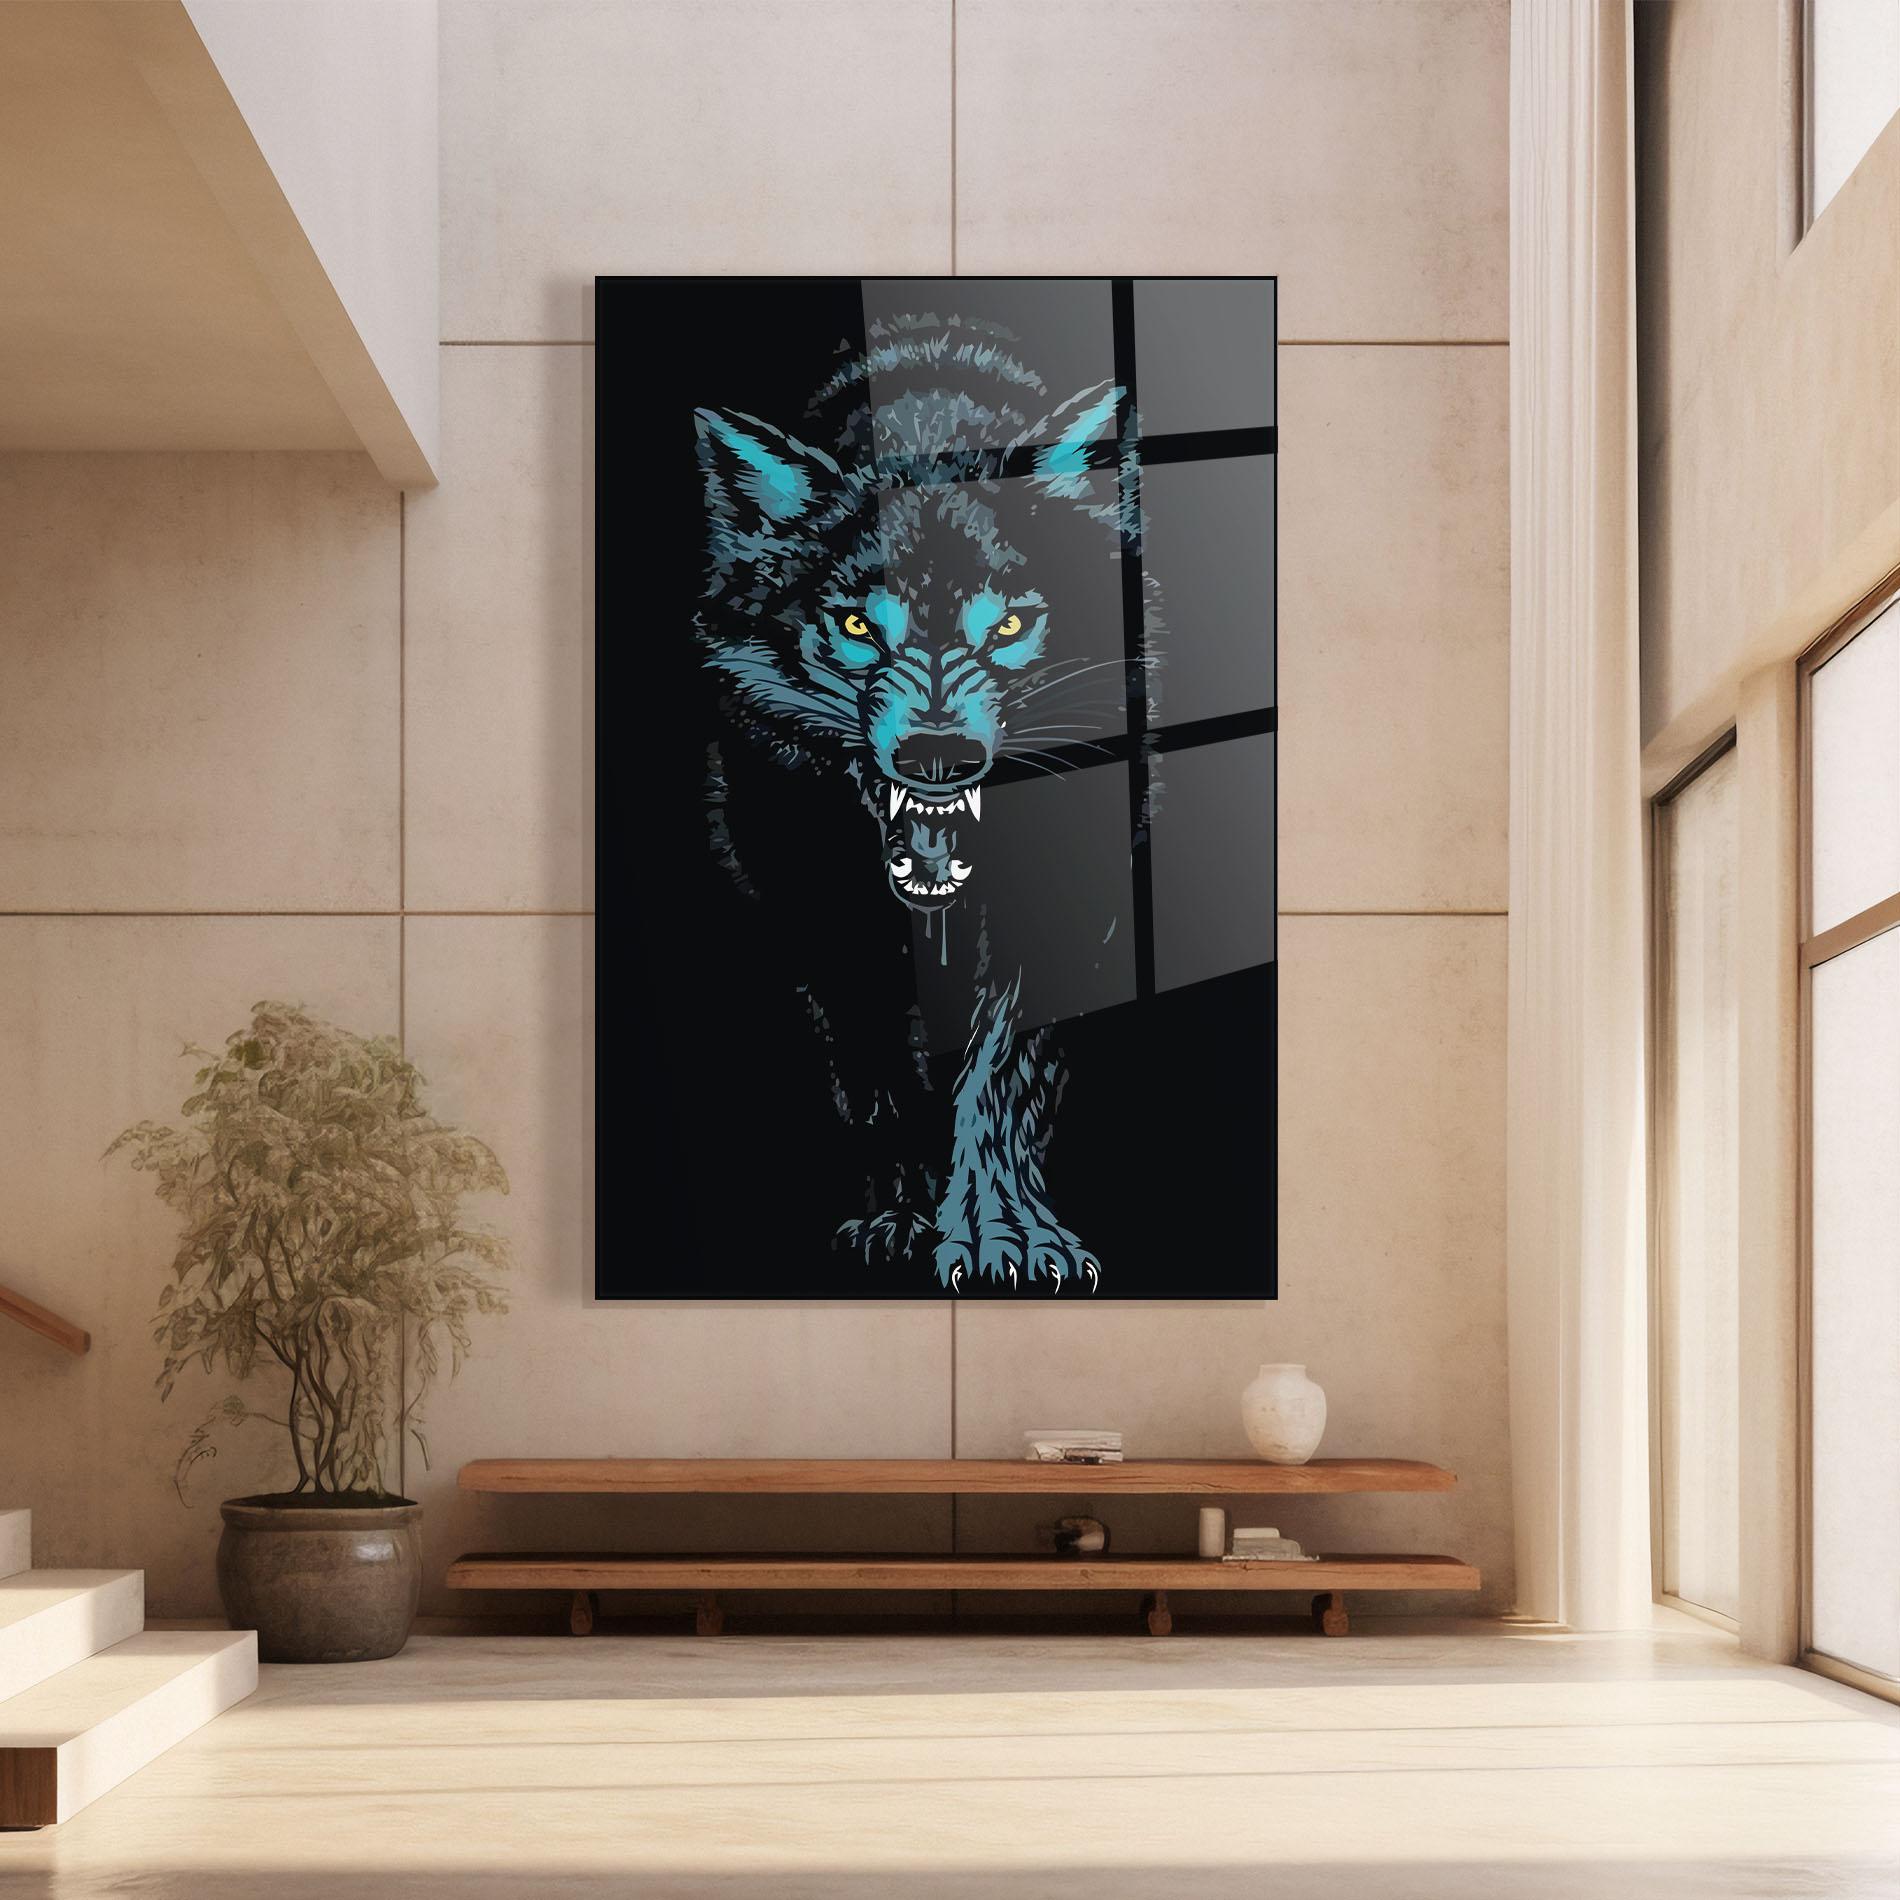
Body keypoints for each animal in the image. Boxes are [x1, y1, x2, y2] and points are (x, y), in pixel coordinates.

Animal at [692, 314, 1160, 1294]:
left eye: (1010, 625)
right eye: (857, 627)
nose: (937, 760)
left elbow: (1002, 1072)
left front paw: (1008, 1234)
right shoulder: (824, 916)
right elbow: (880, 1078)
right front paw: (902, 1217)